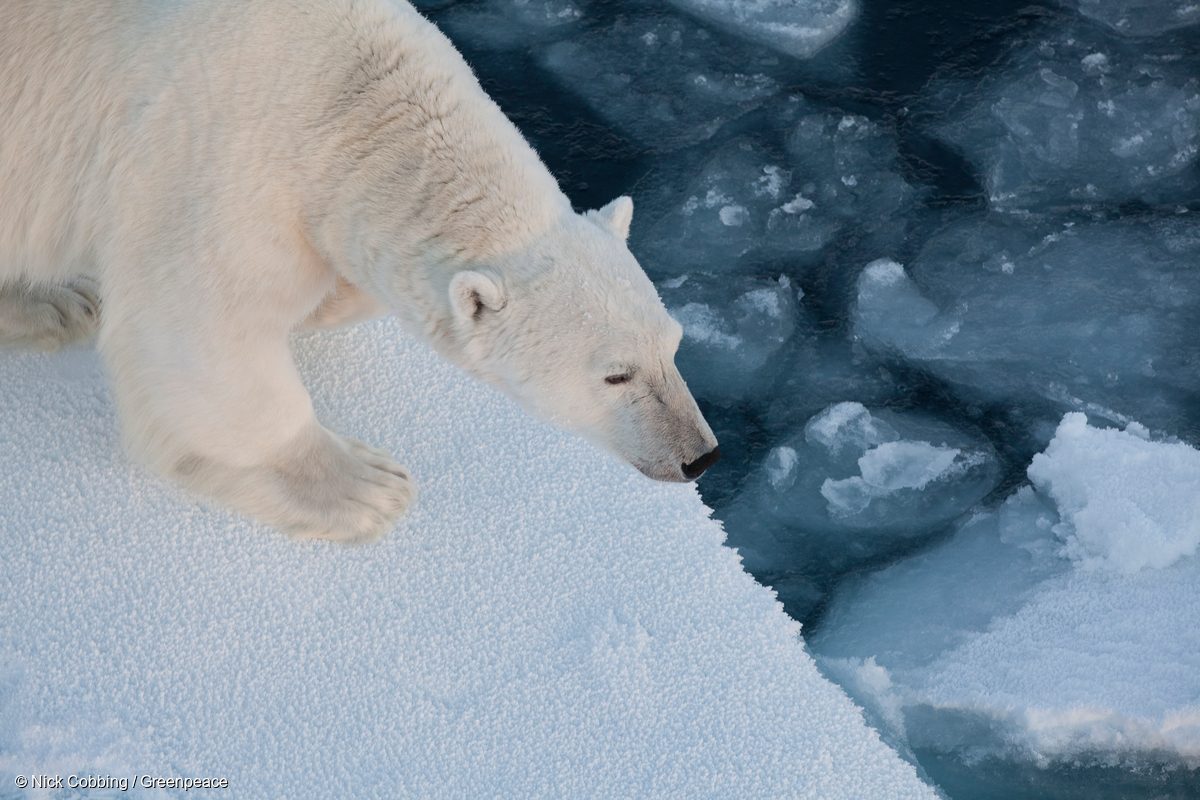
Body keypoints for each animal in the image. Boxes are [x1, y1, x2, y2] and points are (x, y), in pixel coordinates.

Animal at [0, 0, 720, 541]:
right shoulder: (216, 157)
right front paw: (366, 489)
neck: (350, 102)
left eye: (673, 345)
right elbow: (203, 331)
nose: (699, 455)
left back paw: (57, 301)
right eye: (615, 374)